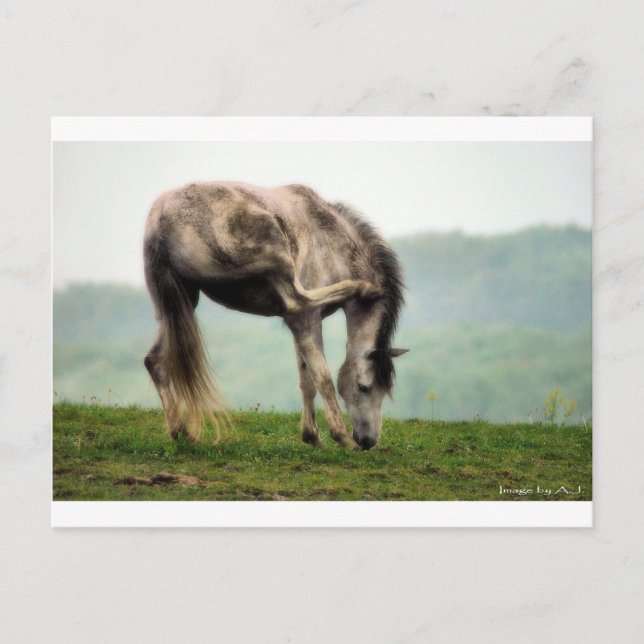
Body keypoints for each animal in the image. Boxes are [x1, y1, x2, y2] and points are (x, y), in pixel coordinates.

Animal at [143, 181, 408, 450]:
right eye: (365, 387)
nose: (368, 441)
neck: (331, 243)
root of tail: (160, 220)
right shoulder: (306, 320)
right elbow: (322, 378)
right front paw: (341, 437)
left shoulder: (302, 327)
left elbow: (306, 380)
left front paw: (312, 437)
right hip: (274, 250)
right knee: (297, 299)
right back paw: (361, 287)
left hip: (178, 305)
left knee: (154, 361)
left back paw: (180, 430)